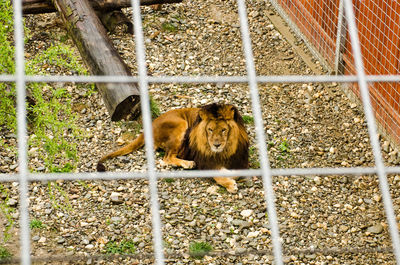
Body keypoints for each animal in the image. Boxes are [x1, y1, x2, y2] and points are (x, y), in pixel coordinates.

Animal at [97, 102, 248, 192]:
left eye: (223, 130)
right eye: (210, 130)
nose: (216, 144)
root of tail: (150, 125)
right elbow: (217, 175)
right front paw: (230, 184)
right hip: (181, 124)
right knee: (167, 158)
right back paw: (188, 164)